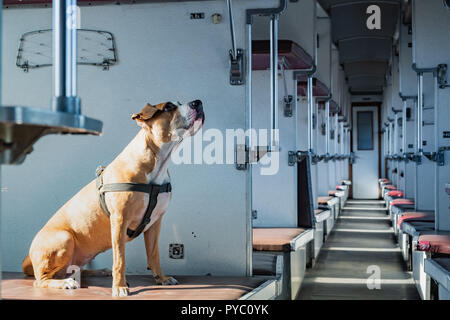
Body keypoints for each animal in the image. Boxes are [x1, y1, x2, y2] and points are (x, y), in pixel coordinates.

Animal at [21, 99, 204, 296]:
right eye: (169, 107)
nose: (198, 102)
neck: (157, 163)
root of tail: (29, 258)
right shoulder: (119, 221)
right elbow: (120, 260)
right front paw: (120, 287)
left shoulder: (155, 223)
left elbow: (154, 254)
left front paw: (161, 279)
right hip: (64, 238)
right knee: (40, 280)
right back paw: (65, 283)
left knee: (75, 269)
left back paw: (98, 272)